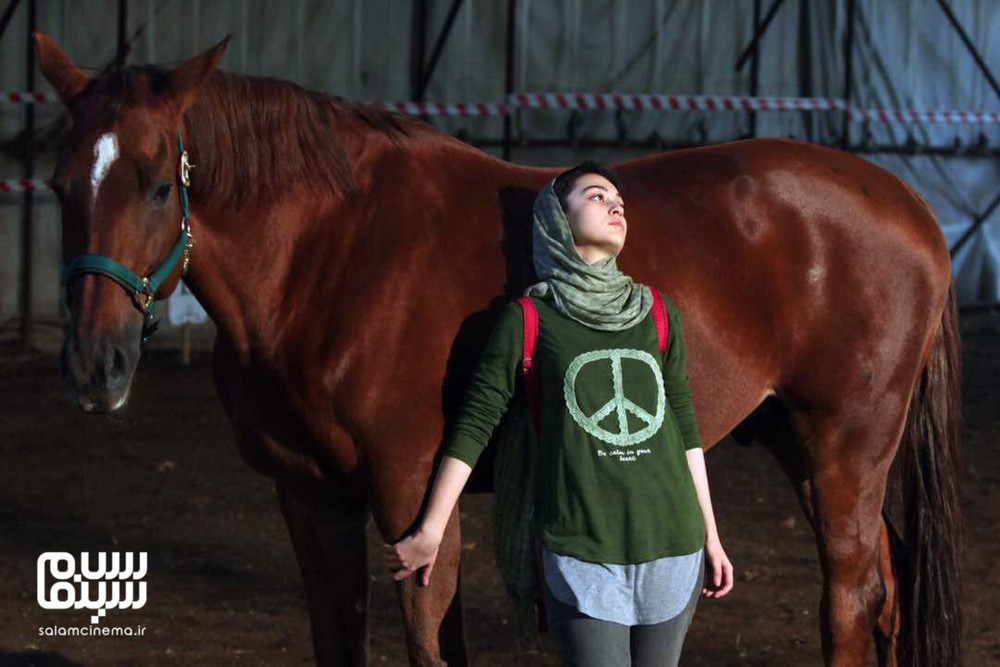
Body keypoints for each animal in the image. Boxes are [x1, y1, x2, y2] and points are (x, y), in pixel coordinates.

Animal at [37, 35, 960, 667]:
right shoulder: (311, 497)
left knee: (850, 598)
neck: (331, 255)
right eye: (57, 183)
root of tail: (906, 201)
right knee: (883, 593)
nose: (93, 367)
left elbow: (431, 642)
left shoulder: (412, 498)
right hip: (796, 443)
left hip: (846, 447)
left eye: (161, 183)